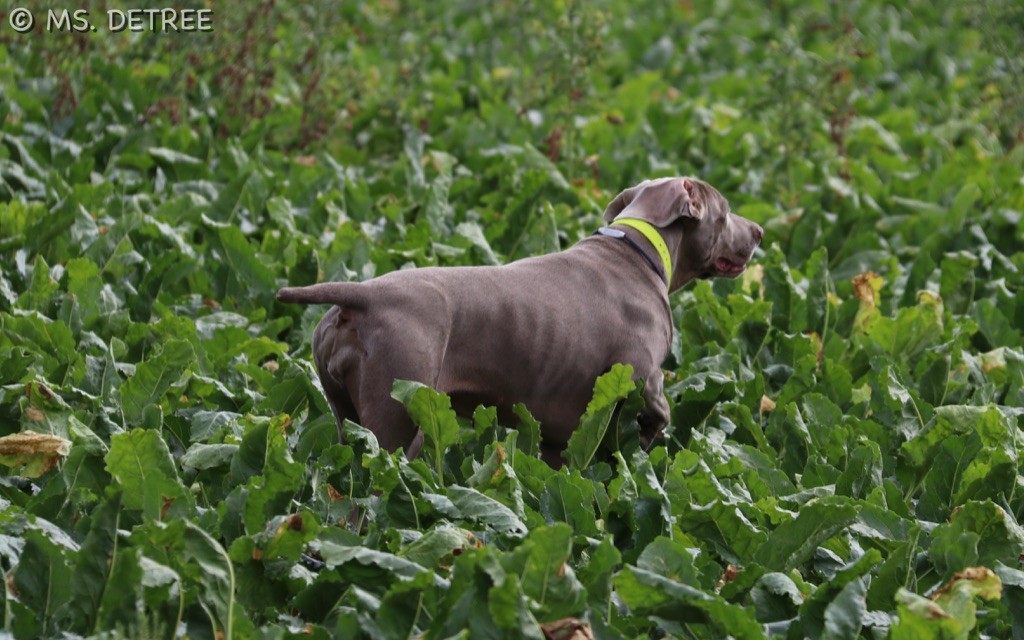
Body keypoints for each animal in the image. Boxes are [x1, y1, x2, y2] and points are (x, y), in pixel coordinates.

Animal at [278, 177, 761, 466]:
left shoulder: (556, 437)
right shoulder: (638, 370)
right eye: (725, 212)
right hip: (399, 417)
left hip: (344, 413)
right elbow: (657, 404)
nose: (759, 231)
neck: (637, 248)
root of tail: (362, 295)